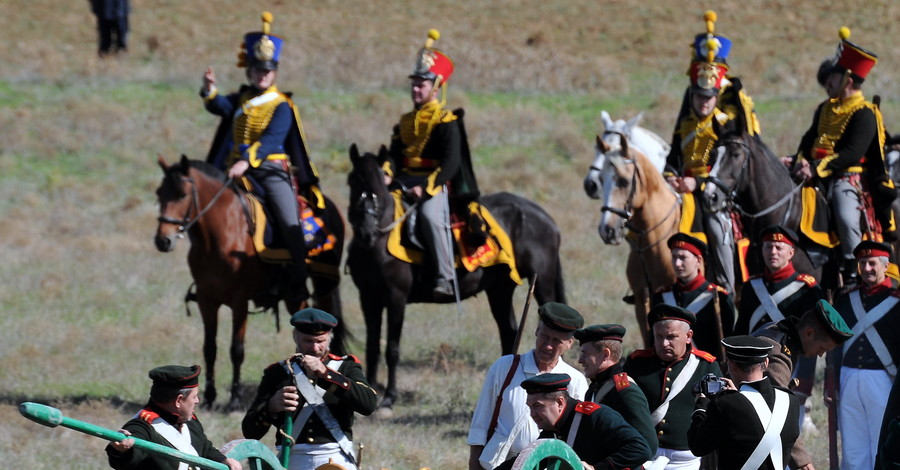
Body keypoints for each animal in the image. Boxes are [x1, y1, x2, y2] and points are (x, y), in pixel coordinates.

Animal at [155, 156, 344, 410]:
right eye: (159, 193)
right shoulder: (206, 299)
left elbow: (237, 349)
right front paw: (209, 396)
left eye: (182, 194)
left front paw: (234, 398)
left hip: (321, 283)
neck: (219, 236)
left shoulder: (239, 301)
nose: (162, 240)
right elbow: (210, 348)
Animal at [346, 145, 568, 410]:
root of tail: (546, 218)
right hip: (500, 289)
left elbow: (391, 348)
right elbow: (372, 346)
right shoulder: (368, 298)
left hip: (542, 282)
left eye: (379, 185)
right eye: (351, 182)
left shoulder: (396, 298)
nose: (366, 231)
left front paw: (389, 397)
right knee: (509, 331)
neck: (378, 245)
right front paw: (369, 389)